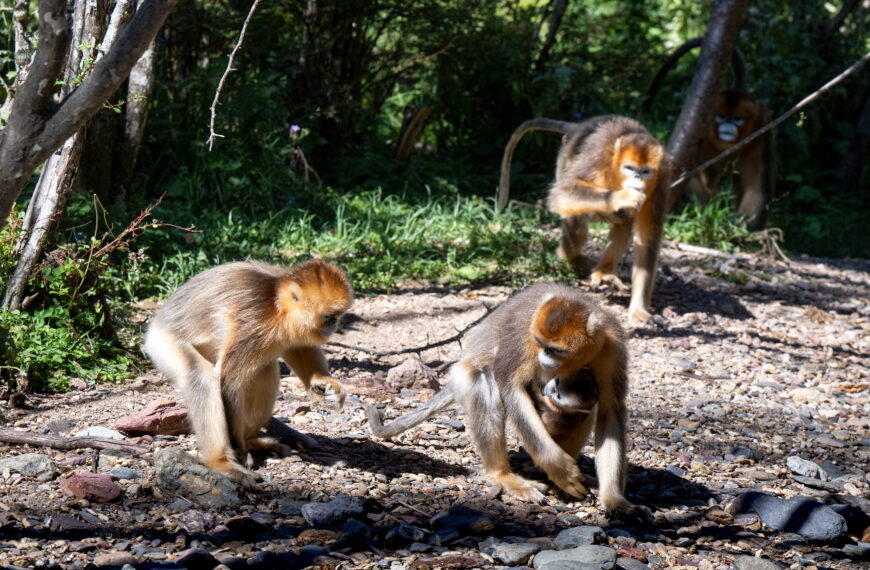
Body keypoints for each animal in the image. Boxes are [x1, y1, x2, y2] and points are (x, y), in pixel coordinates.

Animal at [146, 260, 354, 486]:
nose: (334, 325)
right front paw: (237, 449)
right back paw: (221, 461)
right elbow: (228, 382)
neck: (274, 305)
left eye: (336, 316)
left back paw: (251, 441)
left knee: (265, 369)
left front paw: (321, 382)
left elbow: (298, 346)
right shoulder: (254, 325)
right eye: (328, 317)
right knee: (201, 376)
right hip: (162, 343)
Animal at [368, 282, 648, 516]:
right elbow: (509, 386)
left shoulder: (611, 344)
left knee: (587, 411)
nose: (544, 358)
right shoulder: (522, 333)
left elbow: (610, 410)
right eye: (540, 344)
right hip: (463, 374)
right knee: (484, 383)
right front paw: (559, 467)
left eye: (555, 350)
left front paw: (614, 500)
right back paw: (504, 475)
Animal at [498, 116, 676, 320]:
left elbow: (647, 241)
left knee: (624, 221)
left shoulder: (661, 179)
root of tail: (580, 126)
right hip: (566, 155)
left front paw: (639, 308)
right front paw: (621, 197)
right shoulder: (598, 155)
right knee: (576, 212)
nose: (638, 178)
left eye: (646, 171)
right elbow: (563, 193)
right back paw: (572, 257)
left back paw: (604, 270)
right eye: (630, 168)